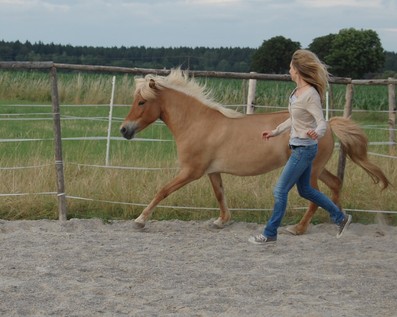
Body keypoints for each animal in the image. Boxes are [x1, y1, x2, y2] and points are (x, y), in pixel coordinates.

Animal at [119, 69, 388, 232]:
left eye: (141, 102)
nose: (124, 130)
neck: (197, 123)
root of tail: (327, 125)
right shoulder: (212, 171)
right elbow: (220, 195)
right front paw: (221, 221)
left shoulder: (191, 171)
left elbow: (163, 191)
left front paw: (140, 220)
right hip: (316, 168)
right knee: (335, 183)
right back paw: (339, 218)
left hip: (309, 171)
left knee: (316, 195)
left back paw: (300, 228)